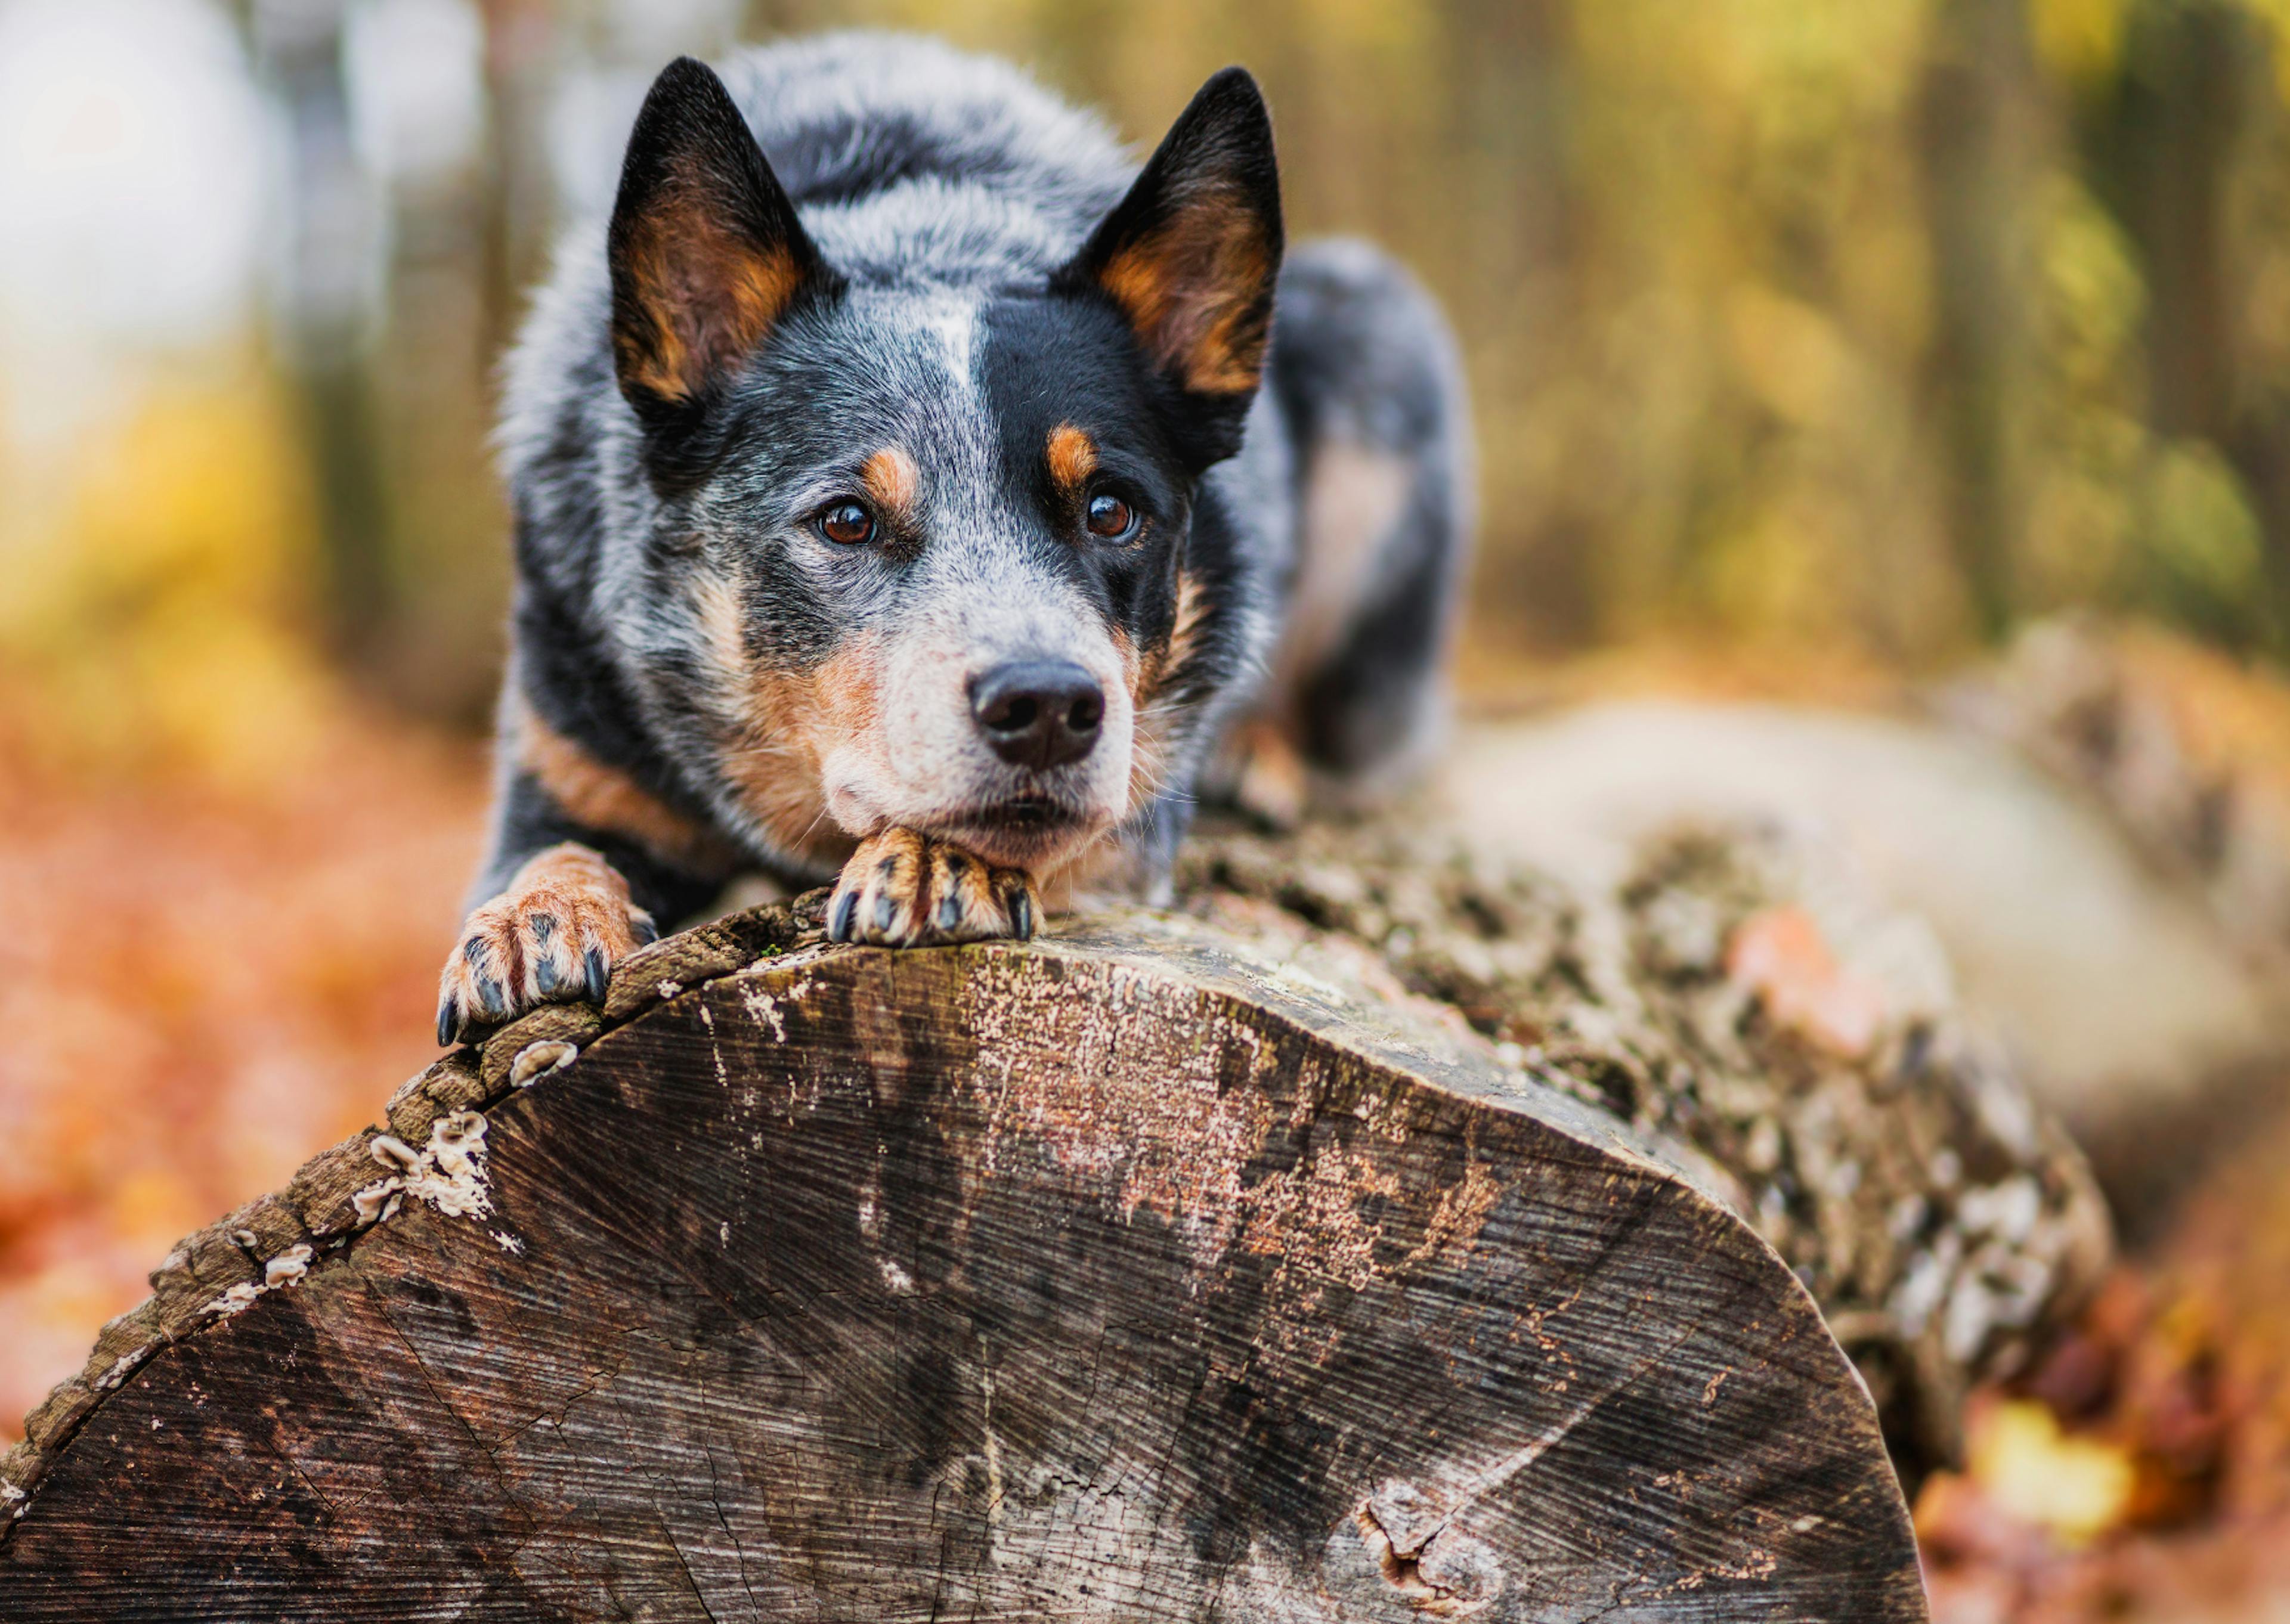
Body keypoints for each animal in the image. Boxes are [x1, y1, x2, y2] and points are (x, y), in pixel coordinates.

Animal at [440, 32, 1474, 1044]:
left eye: (1112, 511)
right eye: (846, 520)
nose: (1049, 707)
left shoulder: (1136, 802)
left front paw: (937, 856)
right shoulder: (570, 756)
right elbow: (551, 849)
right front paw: (538, 916)